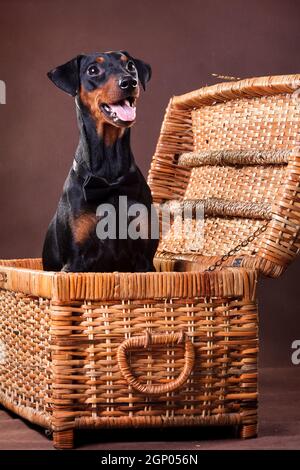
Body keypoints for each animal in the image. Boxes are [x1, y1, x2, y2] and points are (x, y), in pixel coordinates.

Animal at [43, 50, 159, 272]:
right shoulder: (74, 262)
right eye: (92, 70)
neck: (110, 180)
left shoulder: (145, 260)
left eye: (130, 65)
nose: (129, 82)